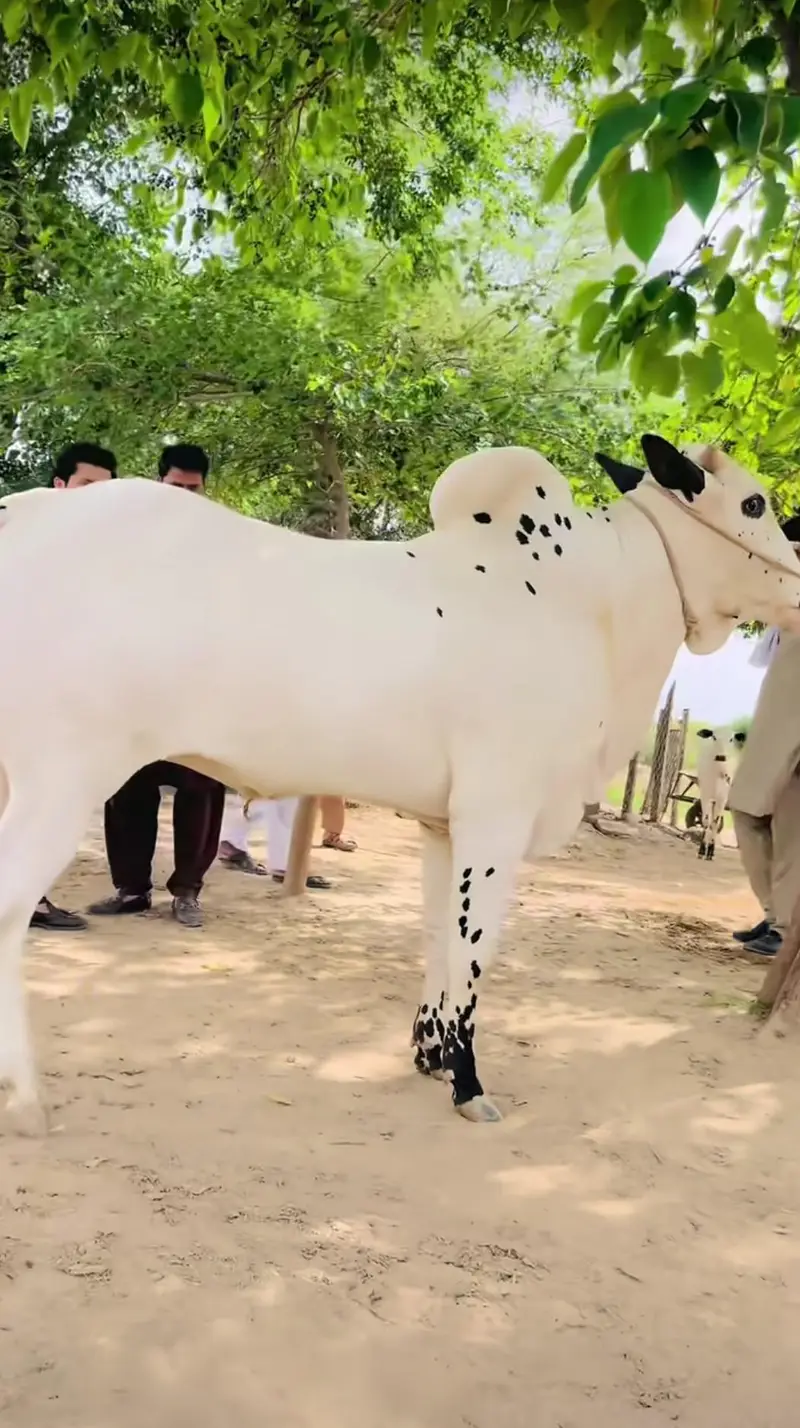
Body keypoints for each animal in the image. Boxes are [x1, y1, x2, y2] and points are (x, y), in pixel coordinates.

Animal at [693, 727, 747, 860]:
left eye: (731, 739)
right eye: (714, 737)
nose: (721, 757)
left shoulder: (722, 799)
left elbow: (715, 823)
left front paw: (710, 852)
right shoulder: (705, 795)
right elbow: (706, 821)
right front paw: (702, 850)